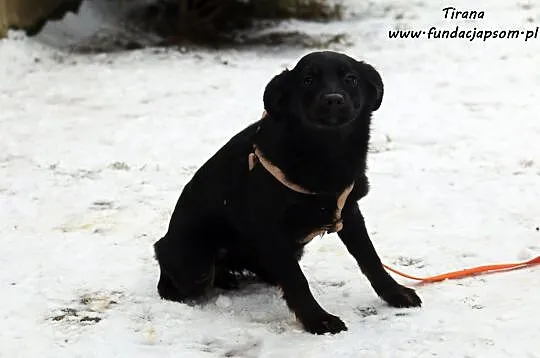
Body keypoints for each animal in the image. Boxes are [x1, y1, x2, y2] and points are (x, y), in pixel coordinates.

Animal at [153, 51, 422, 336]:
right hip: (196, 265)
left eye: (351, 78)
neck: (326, 153)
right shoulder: (271, 230)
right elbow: (296, 280)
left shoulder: (348, 211)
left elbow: (370, 258)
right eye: (307, 80)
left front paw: (395, 293)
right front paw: (318, 319)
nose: (333, 99)